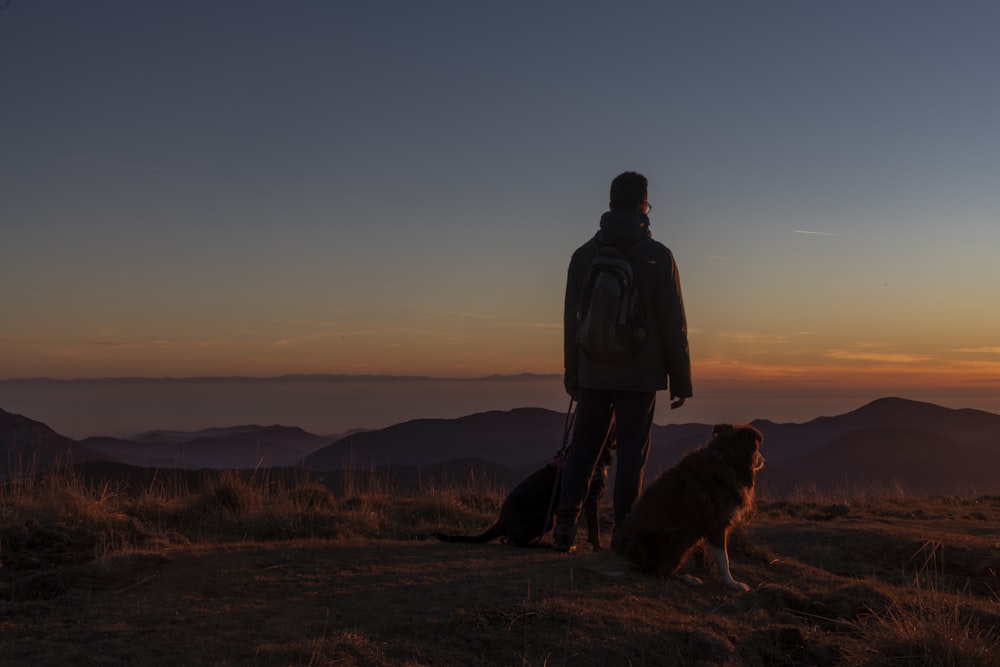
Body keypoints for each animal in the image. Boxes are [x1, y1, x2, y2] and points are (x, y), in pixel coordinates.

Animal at [432, 440, 612, 552]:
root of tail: (502, 520)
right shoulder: (592, 500)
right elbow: (595, 527)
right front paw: (598, 547)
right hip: (547, 519)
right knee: (515, 541)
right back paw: (539, 545)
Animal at [616, 426, 764, 592]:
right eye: (757, 448)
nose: (764, 460)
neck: (728, 459)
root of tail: (626, 555)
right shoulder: (717, 525)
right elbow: (724, 560)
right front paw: (732, 583)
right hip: (683, 535)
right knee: (659, 573)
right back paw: (689, 579)